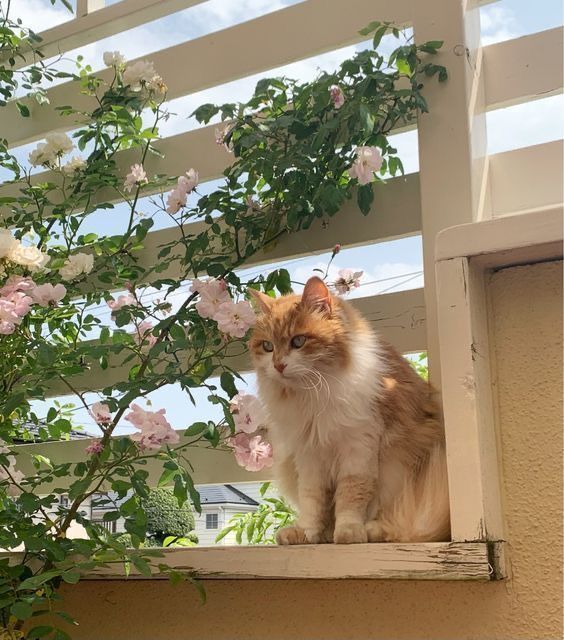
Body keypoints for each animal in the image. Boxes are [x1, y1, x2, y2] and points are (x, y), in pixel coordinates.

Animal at [249, 276, 452, 544]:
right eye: (268, 346)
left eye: (298, 341)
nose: (278, 365)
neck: (312, 397)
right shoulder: (309, 457)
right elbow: (313, 502)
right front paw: (307, 533)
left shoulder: (358, 448)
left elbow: (351, 496)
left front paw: (348, 531)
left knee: (404, 525)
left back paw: (371, 530)